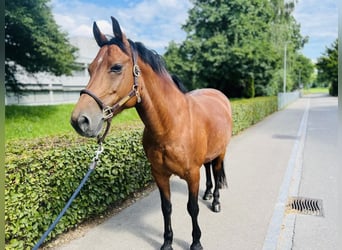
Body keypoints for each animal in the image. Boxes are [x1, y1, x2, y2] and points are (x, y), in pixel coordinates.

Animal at [70, 16, 232, 249]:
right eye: (90, 69)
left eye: (116, 67)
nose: (80, 120)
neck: (171, 126)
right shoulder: (159, 174)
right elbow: (167, 208)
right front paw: (167, 242)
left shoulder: (192, 175)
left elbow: (192, 208)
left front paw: (196, 242)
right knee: (210, 170)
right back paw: (209, 194)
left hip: (221, 152)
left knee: (217, 174)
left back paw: (216, 201)